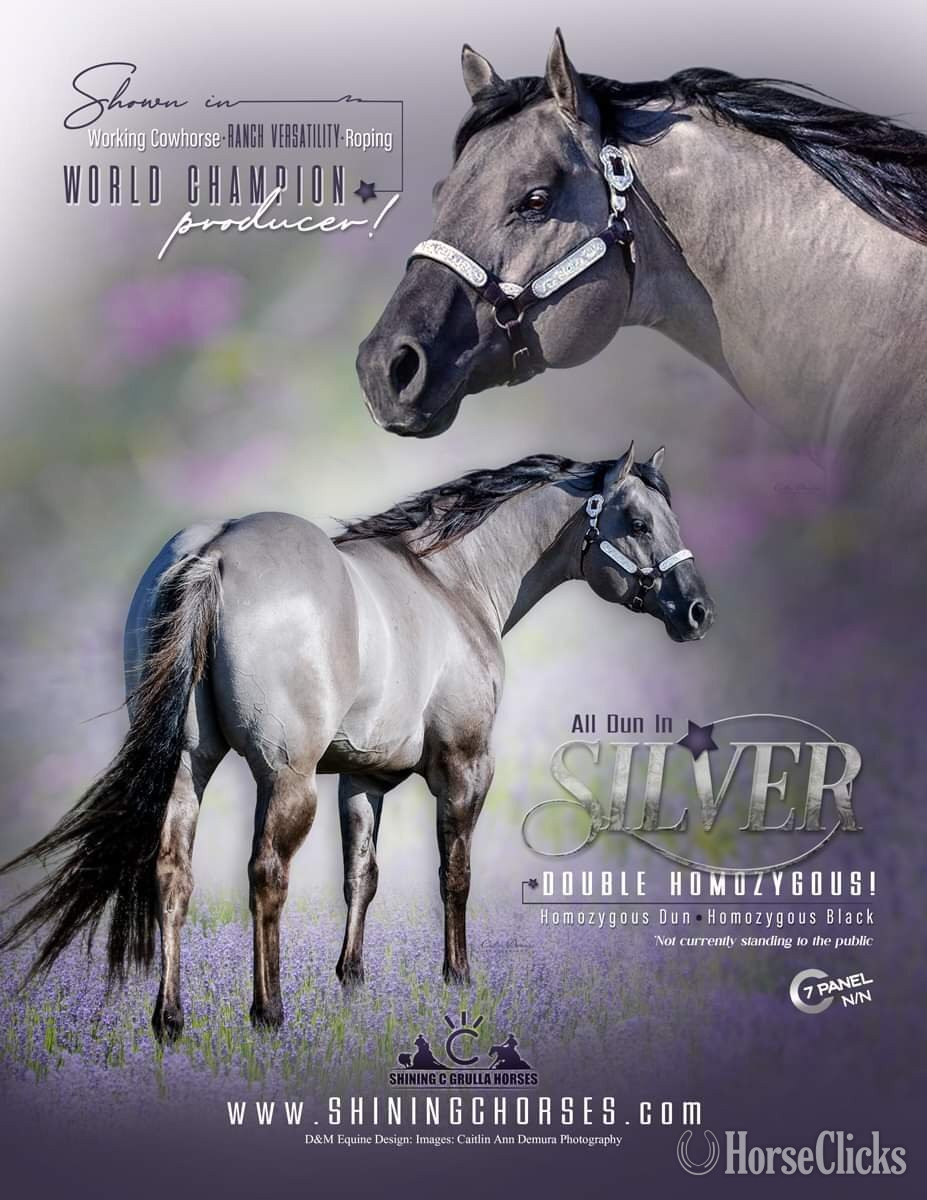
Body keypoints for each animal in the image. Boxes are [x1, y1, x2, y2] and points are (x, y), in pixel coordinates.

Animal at [0, 442, 713, 1041]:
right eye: (639, 522)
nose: (698, 611)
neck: (447, 583)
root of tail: (215, 552)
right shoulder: (465, 768)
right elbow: (454, 874)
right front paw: (459, 977)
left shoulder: (363, 778)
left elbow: (361, 876)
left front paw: (351, 980)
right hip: (286, 780)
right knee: (267, 874)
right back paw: (268, 1011)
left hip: (186, 766)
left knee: (172, 873)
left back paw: (170, 1019)